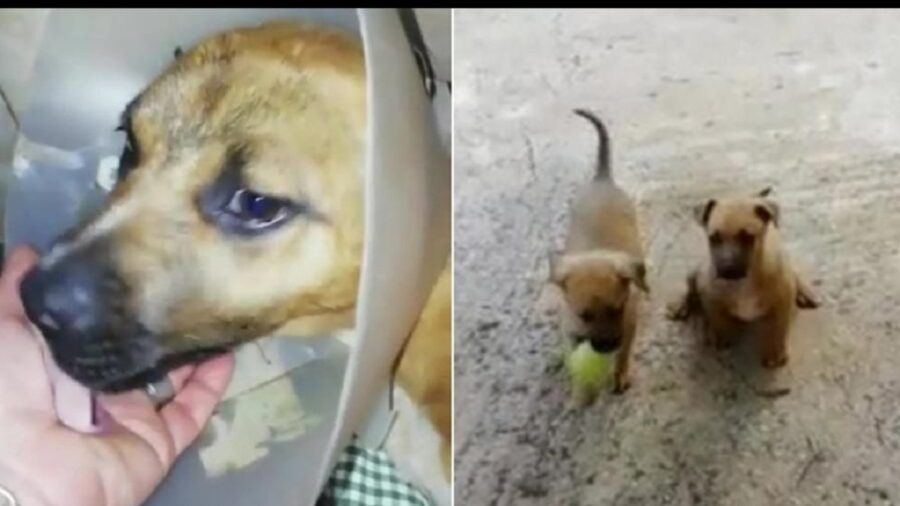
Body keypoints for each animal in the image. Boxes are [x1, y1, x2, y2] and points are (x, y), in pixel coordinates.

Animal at [548, 109, 648, 396]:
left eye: (617, 309)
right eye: (585, 315)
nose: (606, 348)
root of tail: (602, 178)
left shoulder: (629, 322)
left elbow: (625, 352)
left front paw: (621, 373)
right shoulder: (569, 326)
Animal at [664, 189, 820, 368]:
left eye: (747, 237)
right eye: (714, 238)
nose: (727, 270)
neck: (744, 282)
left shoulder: (783, 300)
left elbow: (778, 327)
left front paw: (775, 352)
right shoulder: (709, 293)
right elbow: (716, 317)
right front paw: (719, 335)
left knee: (795, 272)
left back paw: (807, 291)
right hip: (696, 271)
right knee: (690, 287)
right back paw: (679, 304)